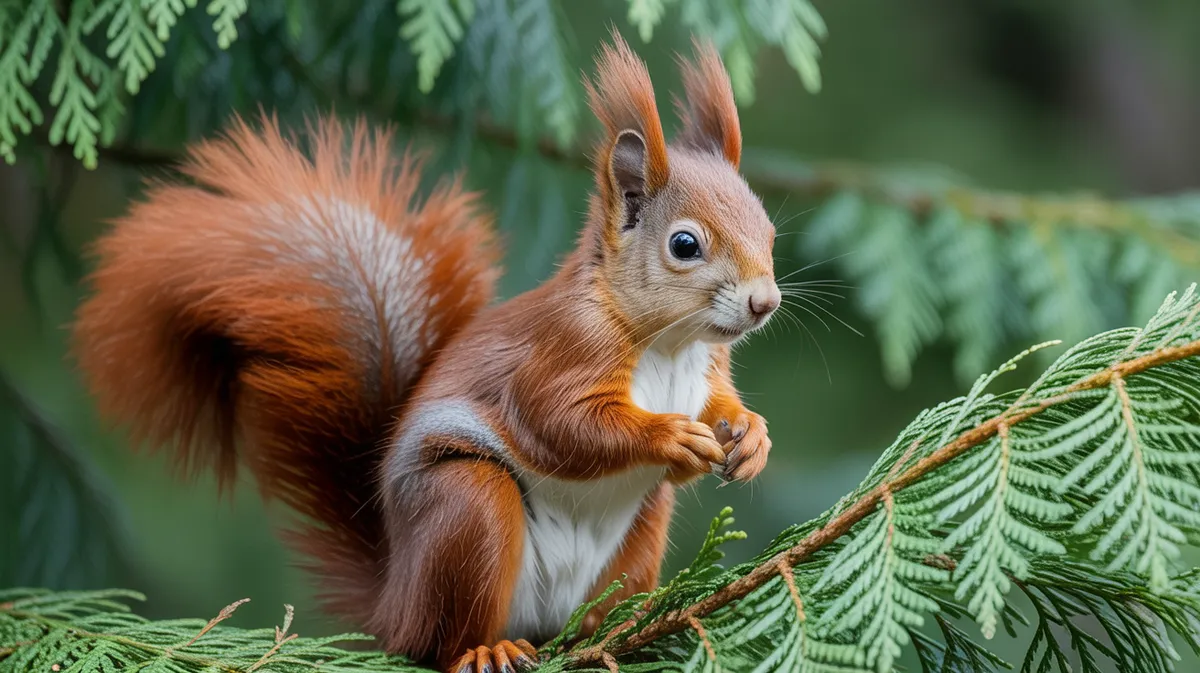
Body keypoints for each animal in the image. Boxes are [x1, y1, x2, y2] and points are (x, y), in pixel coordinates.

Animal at [72, 34, 780, 673]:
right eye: (684, 245)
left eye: (769, 230)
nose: (764, 303)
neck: (669, 343)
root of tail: (395, 602)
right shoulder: (562, 352)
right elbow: (564, 427)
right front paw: (669, 436)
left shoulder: (708, 370)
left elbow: (718, 408)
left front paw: (750, 434)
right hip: (466, 509)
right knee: (442, 641)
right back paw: (487, 650)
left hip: (636, 533)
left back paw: (625, 628)